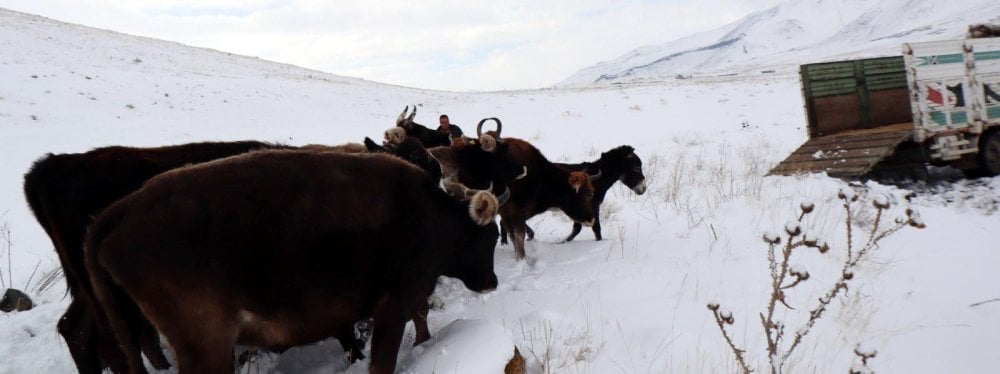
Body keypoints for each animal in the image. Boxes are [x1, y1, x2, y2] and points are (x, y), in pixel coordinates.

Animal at [83, 150, 500, 372]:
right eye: (490, 235)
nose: (491, 282)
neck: (429, 214)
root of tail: (120, 211)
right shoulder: (392, 310)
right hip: (206, 347)